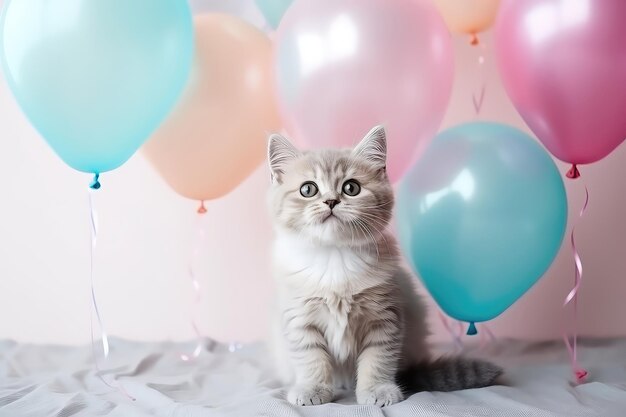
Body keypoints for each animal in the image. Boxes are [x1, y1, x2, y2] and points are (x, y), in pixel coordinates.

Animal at [266, 125, 500, 404]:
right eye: (308, 190)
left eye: (351, 188)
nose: (331, 201)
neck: (334, 256)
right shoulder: (300, 320)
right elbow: (311, 359)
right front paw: (312, 389)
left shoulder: (385, 319)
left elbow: (377, 360)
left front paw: (376, 390)